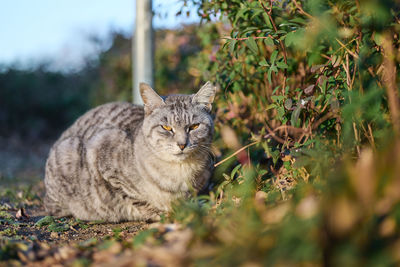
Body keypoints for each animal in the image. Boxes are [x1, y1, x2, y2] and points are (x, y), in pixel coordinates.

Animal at [43, 82, 216, 223]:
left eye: (194, 126)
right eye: (166, 128)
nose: (182, 144)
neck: (179, 172)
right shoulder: (102, 152)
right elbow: (133, 198)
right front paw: (160, 212)